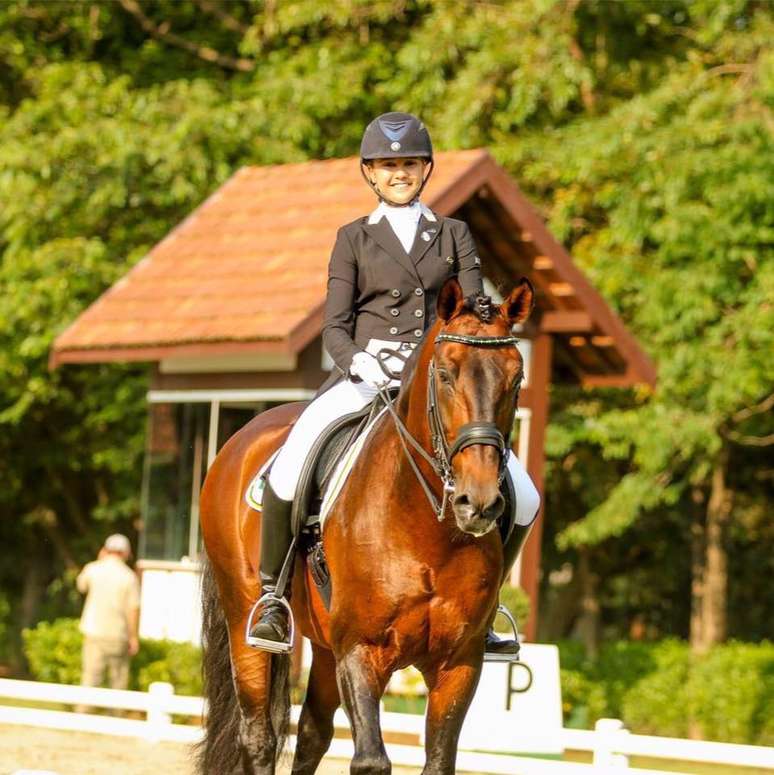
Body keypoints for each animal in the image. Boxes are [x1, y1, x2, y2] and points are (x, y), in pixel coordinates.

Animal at [199, 276, 532, 772]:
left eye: (516, 378)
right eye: (445, 374)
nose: (479, 503)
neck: (430, 534)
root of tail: (240, 439)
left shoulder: (460, 663)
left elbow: (438, 761)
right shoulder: (361, 649)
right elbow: (371, 760)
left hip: (323, 647)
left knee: (312, 734)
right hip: (246, 621)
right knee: (257, 736)